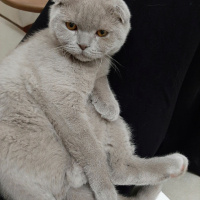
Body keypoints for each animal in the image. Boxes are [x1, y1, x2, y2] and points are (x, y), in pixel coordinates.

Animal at [0, 0, 188, 200]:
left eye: (102, 33)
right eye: (71, 26)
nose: (83, 45)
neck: (86, 68)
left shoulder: (101, 70)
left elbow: (102, 81)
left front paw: (110, 107)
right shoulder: (63, 102)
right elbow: (90, 149)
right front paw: (104, 188)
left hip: (113, 126)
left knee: (120, 167)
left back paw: (176, 165)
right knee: (106, 166)